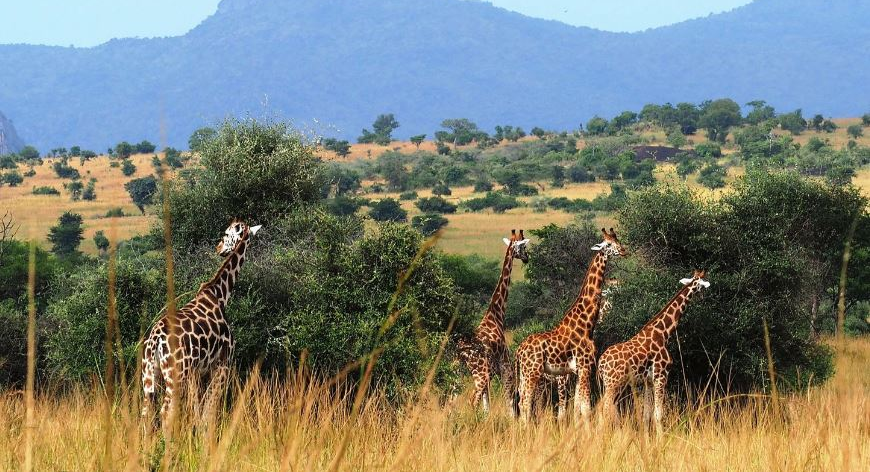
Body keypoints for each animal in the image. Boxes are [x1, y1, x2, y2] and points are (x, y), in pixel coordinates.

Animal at [141, 219, 262, 429]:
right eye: (226, 232)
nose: (219, 248)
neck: (220, 294)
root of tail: (155, 338)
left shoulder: (196, 372)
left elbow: (197, 410)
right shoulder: (222, 363)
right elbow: (209, 410)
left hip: (150, 374)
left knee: (146, 412)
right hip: (176, 374)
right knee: (166, 412)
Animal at [457, 229, 529, 413]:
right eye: (523, 246)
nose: (527, 258)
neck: (496, 315)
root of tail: (462, 352)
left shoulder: (493, 373)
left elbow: (487, 407)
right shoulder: (505, 367)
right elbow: (509, 403)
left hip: (458, 373)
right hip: (480, 373)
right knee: (471, 400)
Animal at [514, 228, 626, 422]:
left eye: (617, 240)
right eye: (608, 244)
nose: (624, 250)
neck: (586, 323)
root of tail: (519, 351)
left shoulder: (577, 371)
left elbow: (577, 407)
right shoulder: (585, 366)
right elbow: (585, 408)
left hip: (525, 374)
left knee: (522, 402)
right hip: (532, 372)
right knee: (525, 402)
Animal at [597, 270, 710, 433]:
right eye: (702, 284)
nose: (704, 295)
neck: (663, 333)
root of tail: (600, 363)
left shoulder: (648, 381)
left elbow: (646, 415)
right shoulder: (661, 376)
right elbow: (658, 415)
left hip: (611, 384)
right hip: (613, 383)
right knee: (602, 409)